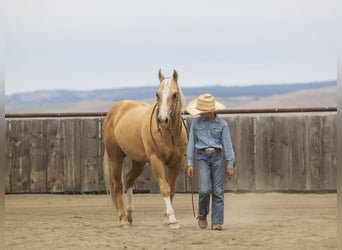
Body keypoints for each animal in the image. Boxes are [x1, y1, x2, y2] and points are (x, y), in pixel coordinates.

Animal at [102, 69, 187, 229]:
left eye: (174, 94)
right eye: (157, 94)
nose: (162, 120)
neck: (168, 134)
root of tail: (115, 111)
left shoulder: (177, 162)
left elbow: (172, 189)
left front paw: (167, 218)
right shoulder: (156, 160)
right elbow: (165, 188)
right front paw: (173, 220)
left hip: (138, 162)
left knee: (128, 180)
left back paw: (129, 214)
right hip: (115, 157)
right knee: (118, 186)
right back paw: (123, 219)